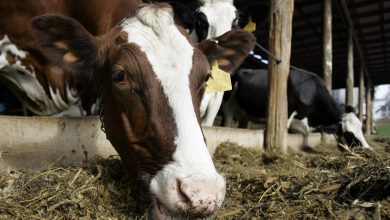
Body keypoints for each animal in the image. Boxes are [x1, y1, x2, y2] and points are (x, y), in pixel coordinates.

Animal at [222, 68, 372, 149]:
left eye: (361, 128)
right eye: (349, 134)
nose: (367, 148)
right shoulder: (287, 115)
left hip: (245, 115)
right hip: (227, 109)